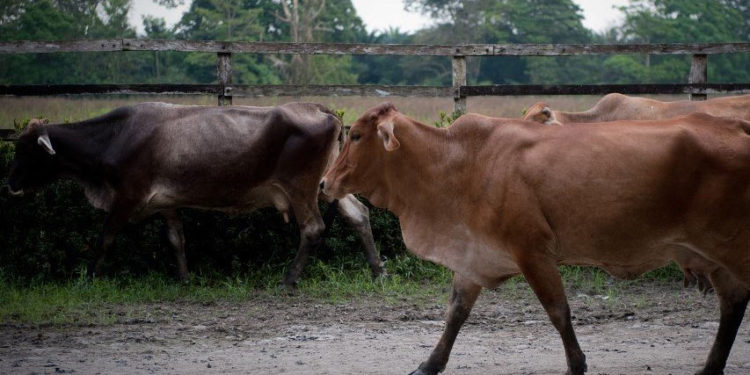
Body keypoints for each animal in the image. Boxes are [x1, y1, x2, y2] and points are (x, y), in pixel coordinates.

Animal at [8, 102, 388, 288]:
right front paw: (185, 278)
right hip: (327, 183)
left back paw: (290, 278)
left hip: (300, 186)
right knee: (359, 215)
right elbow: (176, 239)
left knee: (312, 229)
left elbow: (103, 240)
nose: (10, 183)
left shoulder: (127, 197)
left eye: (27, 150)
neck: (114, 137)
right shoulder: (165, 202)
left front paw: (87, 279)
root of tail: (321, 109)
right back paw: (377, 269)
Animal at [322, 102, 750, 375]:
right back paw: (710, 367)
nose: (325, 183)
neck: (457, 163)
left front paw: (577, 365)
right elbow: (456, 312)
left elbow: (558, 311)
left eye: (355, 135)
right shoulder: (474, 255)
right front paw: (429, 364)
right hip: (713, 254)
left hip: (732, 245)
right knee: (733, 302)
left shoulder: (532, 252)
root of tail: (733, 126)